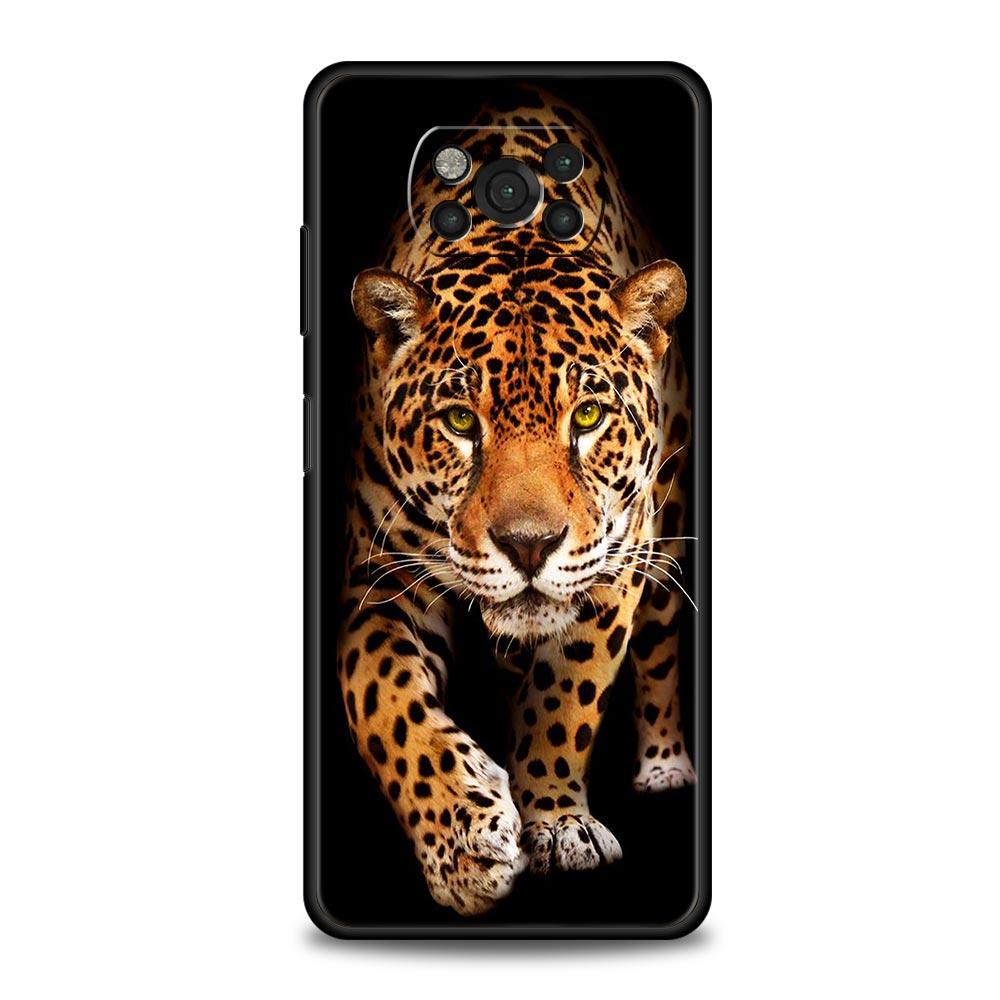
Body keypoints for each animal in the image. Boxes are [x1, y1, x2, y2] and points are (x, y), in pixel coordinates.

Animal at [336, 87, 696, 917]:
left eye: (587, 416)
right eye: (461, 423)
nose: (529, 545)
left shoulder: (615, 562)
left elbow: (566, 696)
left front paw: (558, 823)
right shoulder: (379, 581)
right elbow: (382, 697)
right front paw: (463, 843)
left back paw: (666, 767)